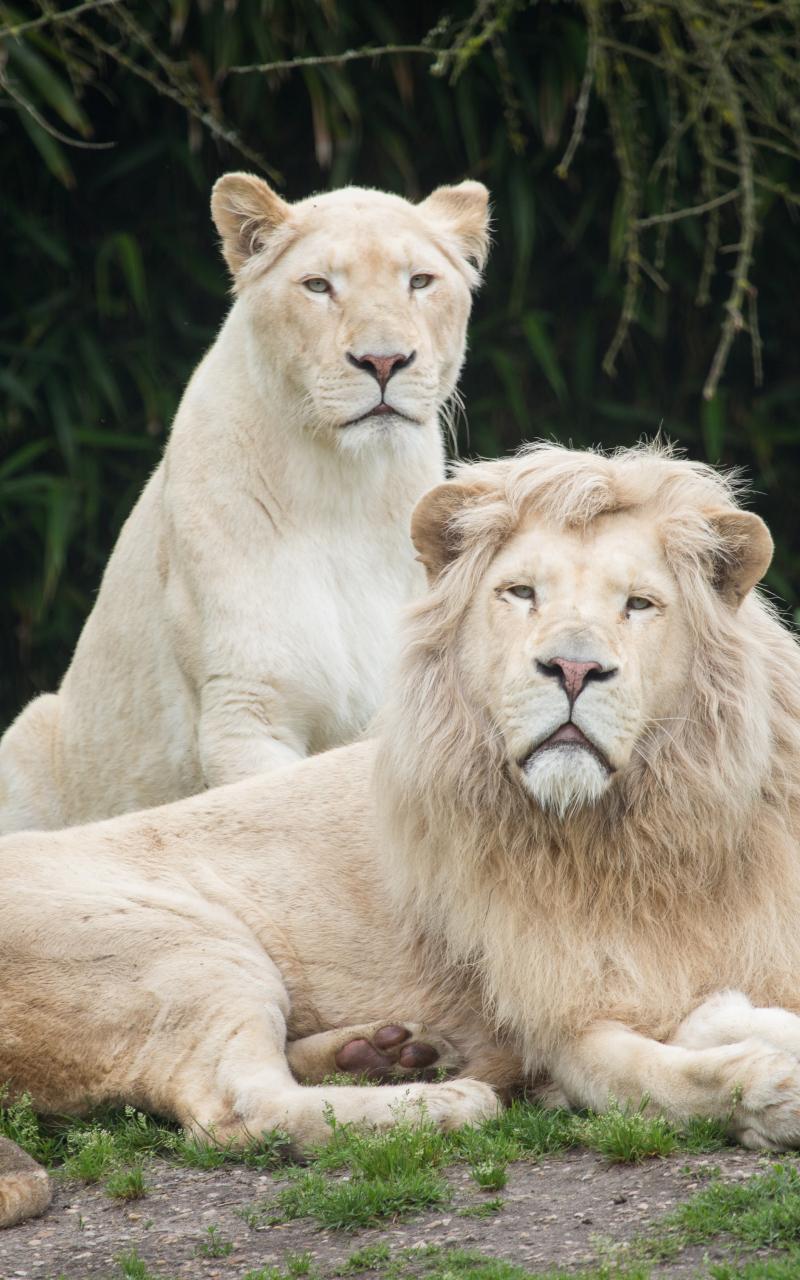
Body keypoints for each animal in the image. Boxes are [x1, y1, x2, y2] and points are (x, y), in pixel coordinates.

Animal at [4, 442, 800, 1229]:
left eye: (639, 604)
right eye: (521, 594)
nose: (574, 668)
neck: (647, 833)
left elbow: (718, 1015)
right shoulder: (558, 1026)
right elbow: (660, 1075)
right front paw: (771, 1090)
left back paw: (387, 1052)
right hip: (190, 950)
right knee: (240, 1107)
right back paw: (444, 1099)